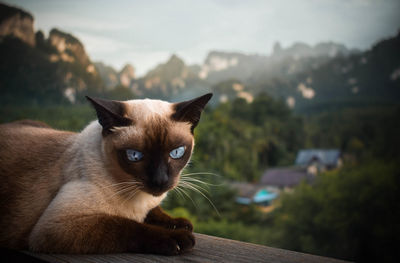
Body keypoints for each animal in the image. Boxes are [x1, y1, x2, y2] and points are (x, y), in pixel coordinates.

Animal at [0, 93, 212, 256]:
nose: (160, 181)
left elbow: (154, 212)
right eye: (134, 156)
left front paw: (179, 224)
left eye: (176, 152)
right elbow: (125, 225)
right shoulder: (56, 227)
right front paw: (177, 237)